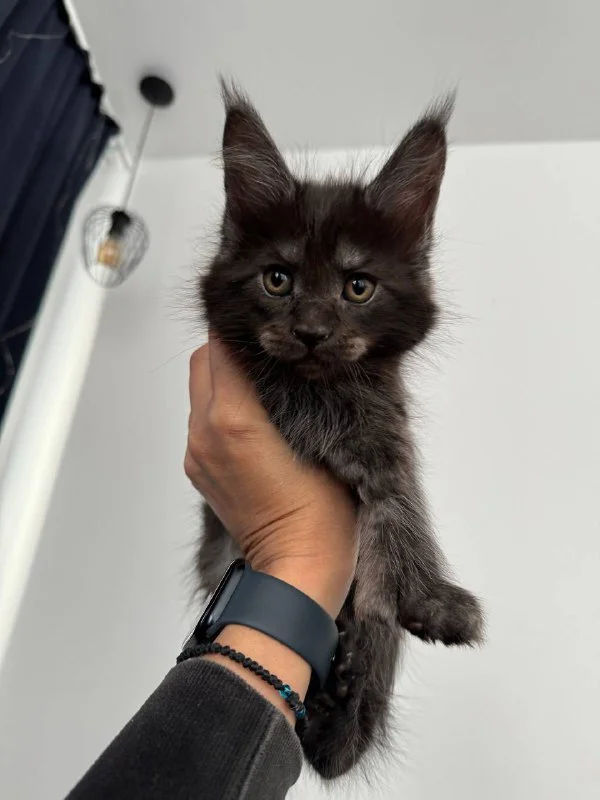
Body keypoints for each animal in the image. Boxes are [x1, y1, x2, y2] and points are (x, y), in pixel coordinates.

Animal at [196, 82, 484, 779]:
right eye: (278, 278)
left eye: (358, 287)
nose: (311, 331)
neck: (324, 385)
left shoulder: (390, 413)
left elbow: (398, 480)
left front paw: (427, 597)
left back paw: (343, 693)